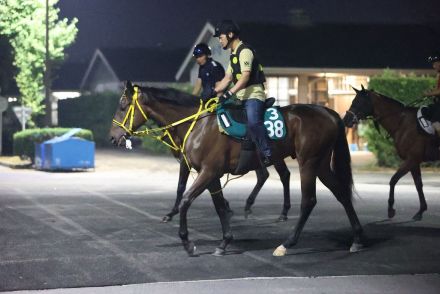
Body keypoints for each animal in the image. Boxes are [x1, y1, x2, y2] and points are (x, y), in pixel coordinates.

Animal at [110, 81, 364, 256]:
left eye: (123, 106)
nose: (113, 137)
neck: (198, 124)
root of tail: (329, 113)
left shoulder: (207, 172)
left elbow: (185, 199)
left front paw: (187, 243)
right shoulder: (211, 175)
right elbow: (219, 206)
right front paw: (224, 242)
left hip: (308, 162)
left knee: (308, 200)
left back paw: (286, 243)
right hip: (320, 164)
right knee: (341, 193)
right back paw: (357, 238)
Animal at [344, 85, 440, 220]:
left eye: (359, 102)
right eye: (353, 101)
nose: (345, 120)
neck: (402, 123)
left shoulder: (411, 159)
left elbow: (393, 180)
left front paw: (390, 208)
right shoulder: (414, 162)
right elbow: (418, 184)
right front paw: (421, 210)